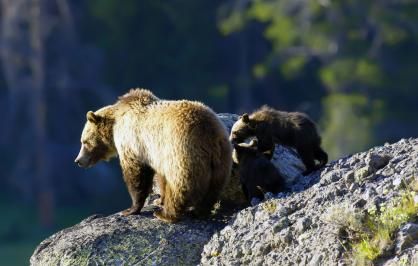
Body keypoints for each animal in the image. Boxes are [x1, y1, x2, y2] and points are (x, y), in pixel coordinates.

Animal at [74, 89, 232, 222]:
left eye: (84, 141)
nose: (78, 161)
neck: (115, 125)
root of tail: (208, 134)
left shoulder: (134, 142)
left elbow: (136, 174)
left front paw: (131, 209)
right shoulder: (156, 153)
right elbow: (160, 176)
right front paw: (158, 199)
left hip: (182, 152)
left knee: (180, 185)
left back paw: (166, 214)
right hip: (221, 158)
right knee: (214, 188)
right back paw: (199, 211)